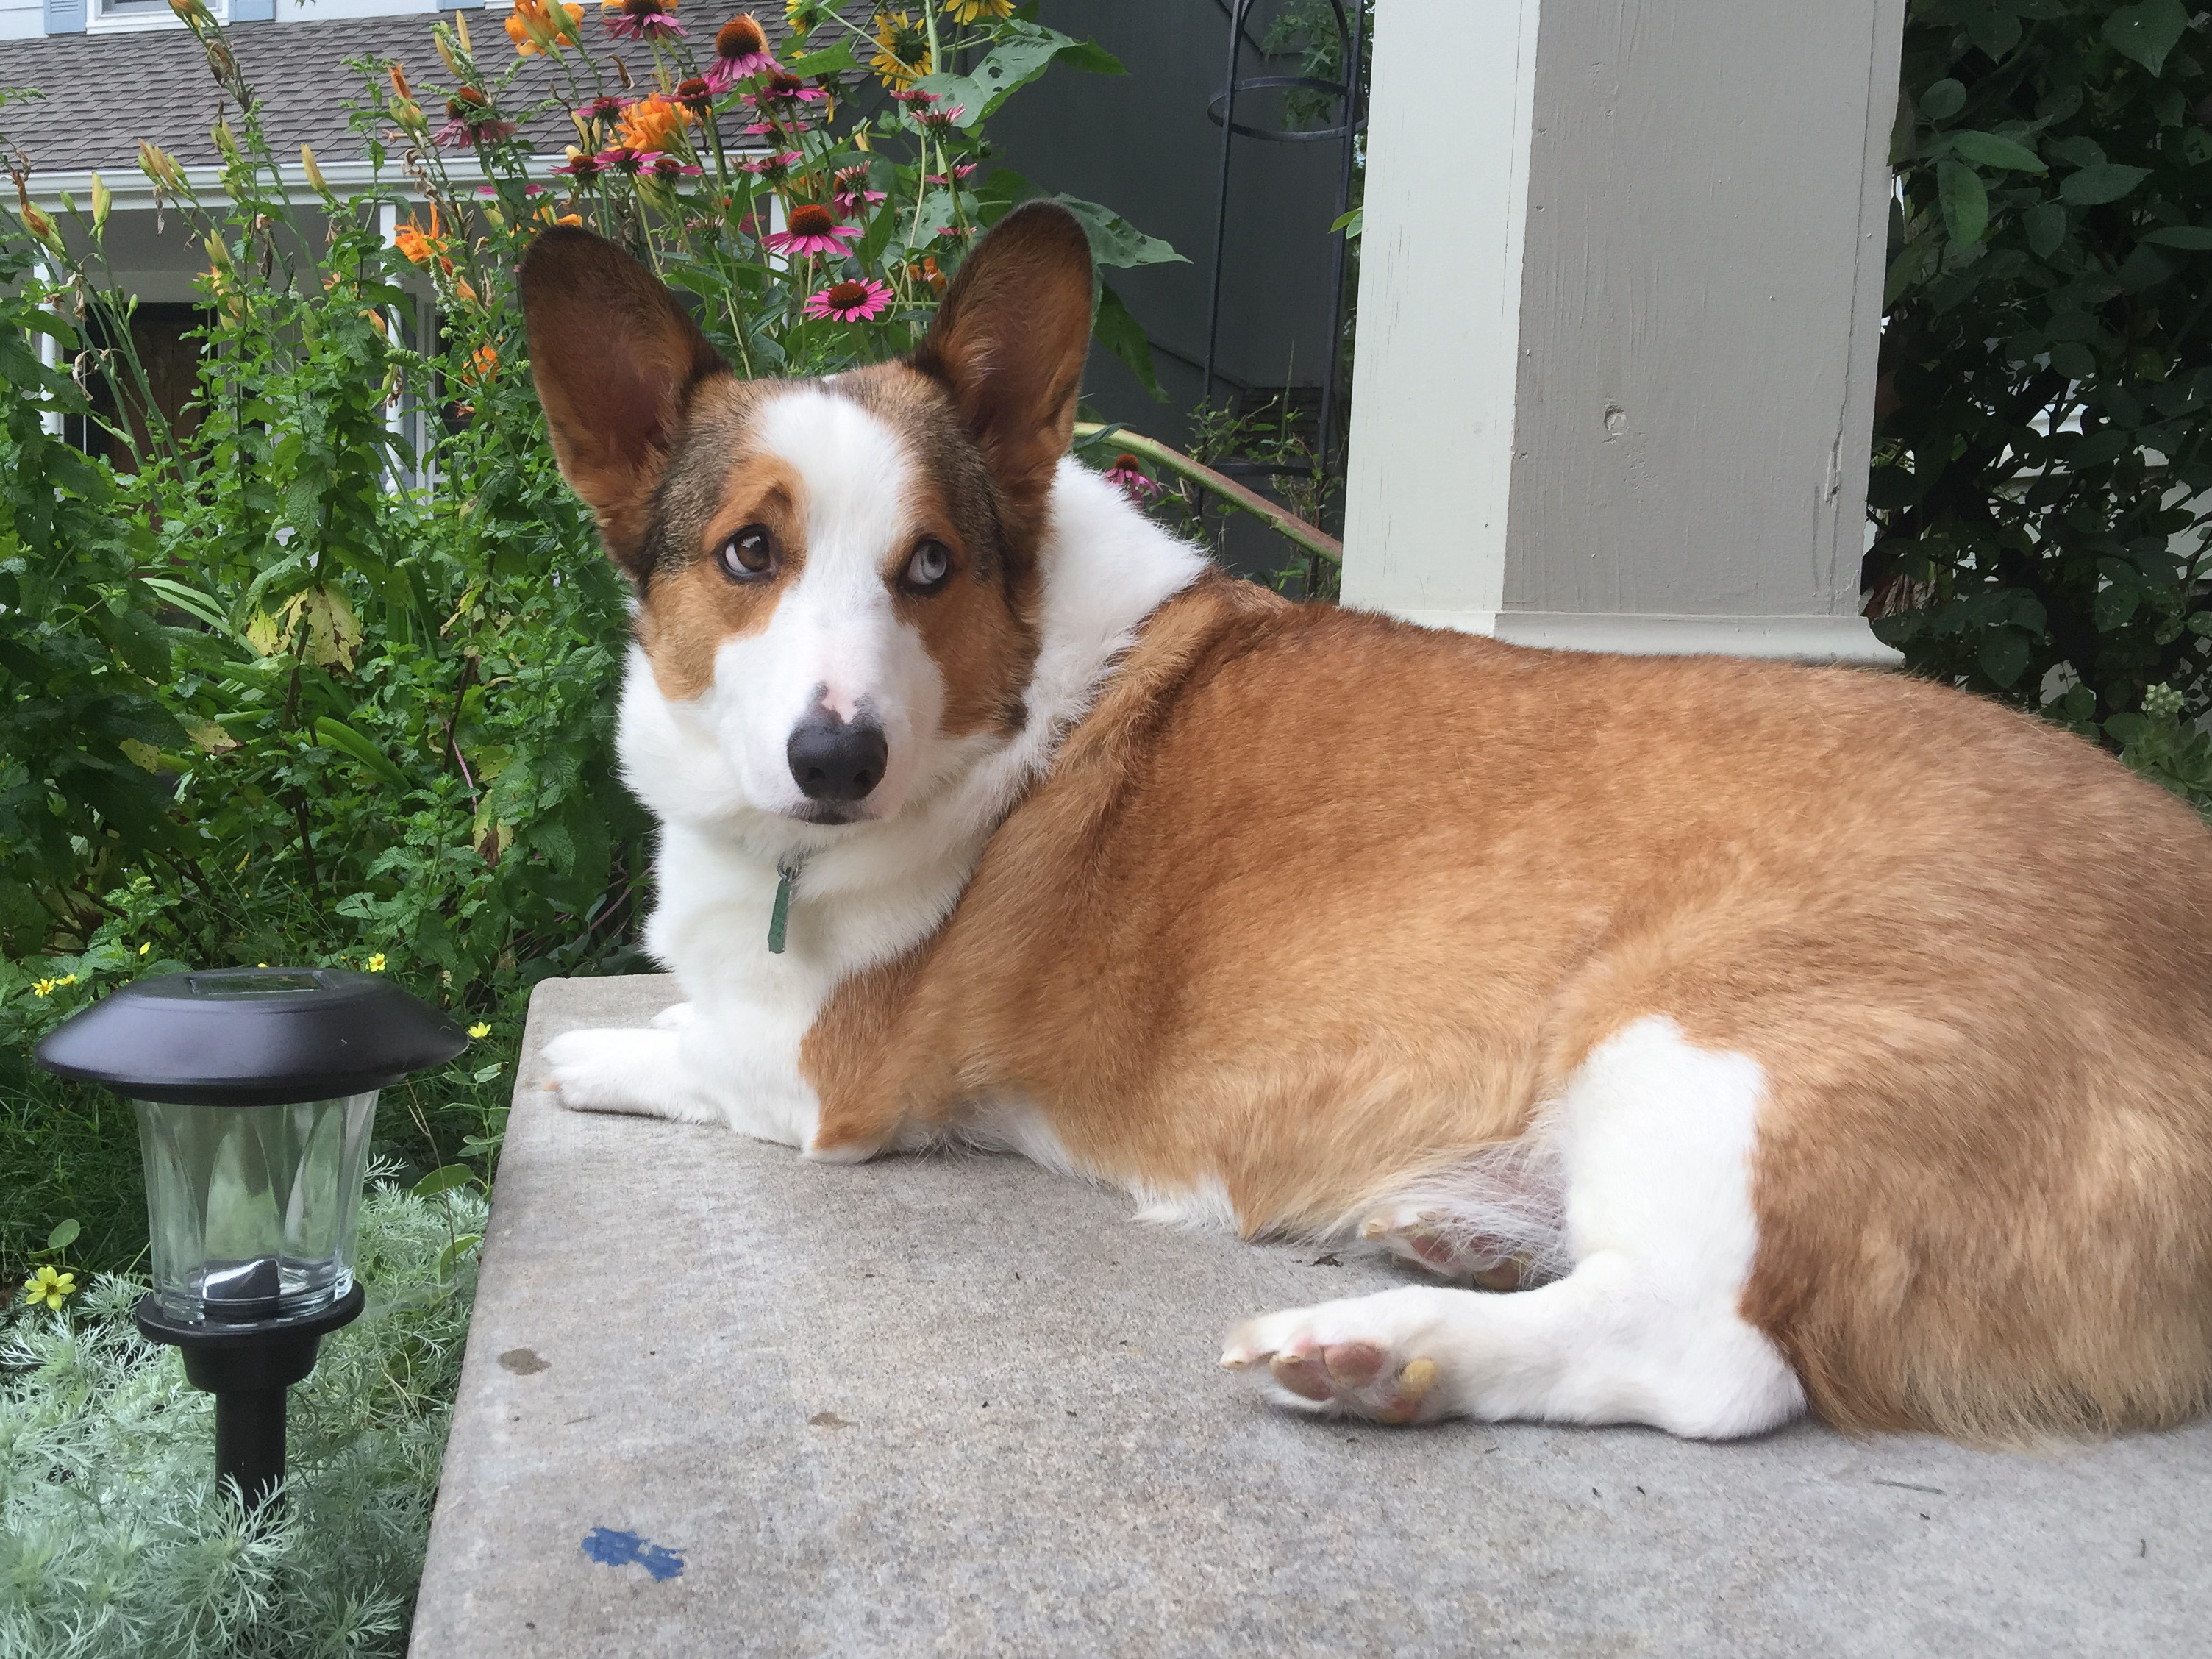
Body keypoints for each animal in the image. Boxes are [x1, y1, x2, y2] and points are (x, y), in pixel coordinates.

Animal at [513, 207, 2212, 1451]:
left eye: (929, 566)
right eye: (748, 553)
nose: (836, 758)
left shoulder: (821, 1076)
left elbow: (684, 1041)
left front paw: (587, 1053)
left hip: (1698, 1045)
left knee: (1710, 1360)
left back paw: (1380, 1349)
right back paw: (1458, 1243)